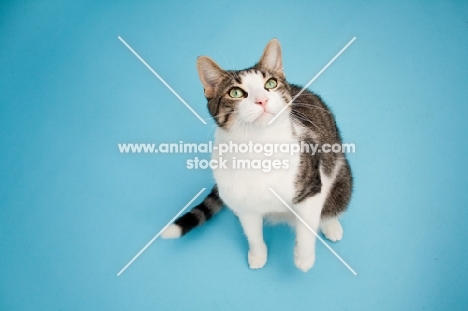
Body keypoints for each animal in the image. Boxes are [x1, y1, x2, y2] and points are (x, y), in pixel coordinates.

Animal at [161, 39, 352, 272]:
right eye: (235, 92)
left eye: (270, 83)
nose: (261, 100)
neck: (258, 148)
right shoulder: (245, 204)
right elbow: (252, 232)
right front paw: (258, 254)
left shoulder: (312, 186)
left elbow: (307, 224)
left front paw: (304, 258)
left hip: (341, 176)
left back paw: (331, 224)